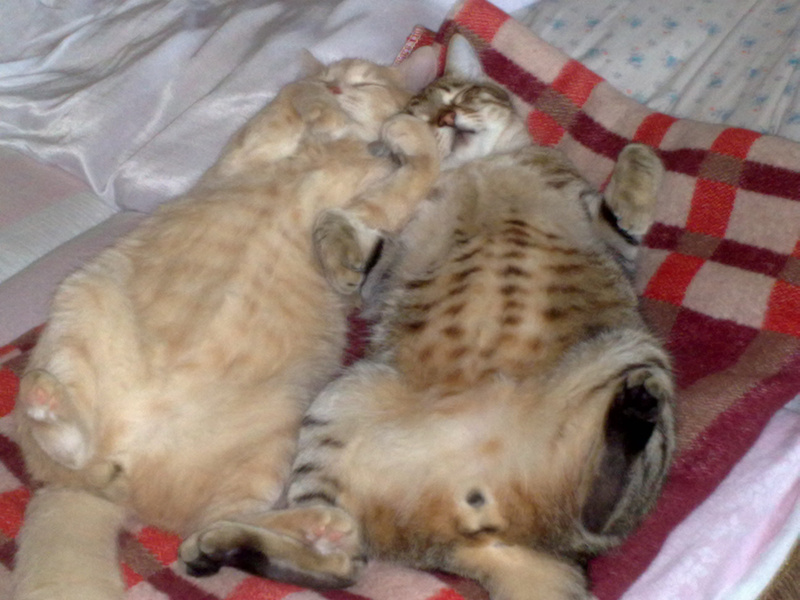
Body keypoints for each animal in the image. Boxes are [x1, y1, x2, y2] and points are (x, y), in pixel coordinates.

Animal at [12, 48, 441, 600]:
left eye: (364, 80)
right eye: (332, 75)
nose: (337, 88)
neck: (337, 148)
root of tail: (123, 464)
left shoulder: (366, 211)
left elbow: (417, 171)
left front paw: (401, 134)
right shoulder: (255, 144)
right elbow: (291, 98)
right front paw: (323, 105)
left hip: (273, 437)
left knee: (217, 523)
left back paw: (320, 529)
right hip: (80, 313)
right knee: (78, 453)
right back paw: (49, 405)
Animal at [177, 36, 675, 600]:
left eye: (460, 95)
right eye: (423, 109)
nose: (447, 116)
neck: (480, 168)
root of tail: (488, 531)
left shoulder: (611, 238)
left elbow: (623, 205)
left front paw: (638, 156)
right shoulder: (382, 275)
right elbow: (358, 247)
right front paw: (333, 230)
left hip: (632, 350)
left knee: (599, 513)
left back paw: (630, 415)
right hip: (341, 403)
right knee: (344, 560)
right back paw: (221, 546)